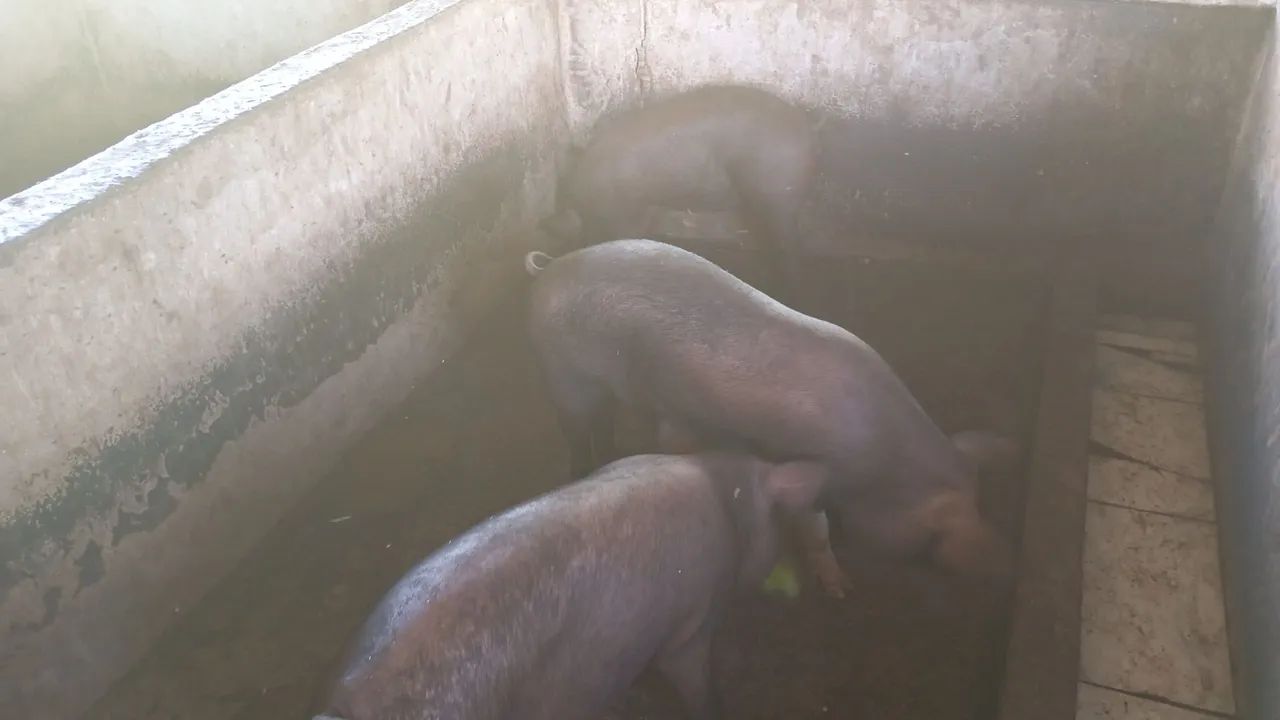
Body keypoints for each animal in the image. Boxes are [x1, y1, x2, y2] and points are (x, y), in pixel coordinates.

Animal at [523, 239, 1020, 598]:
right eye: (932, 535)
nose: (1001, 565)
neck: (884, 461)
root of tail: (549, 267)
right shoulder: (815, 469)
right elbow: (814, 529)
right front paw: (842, 590)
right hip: (560, 374)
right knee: (576, 435)